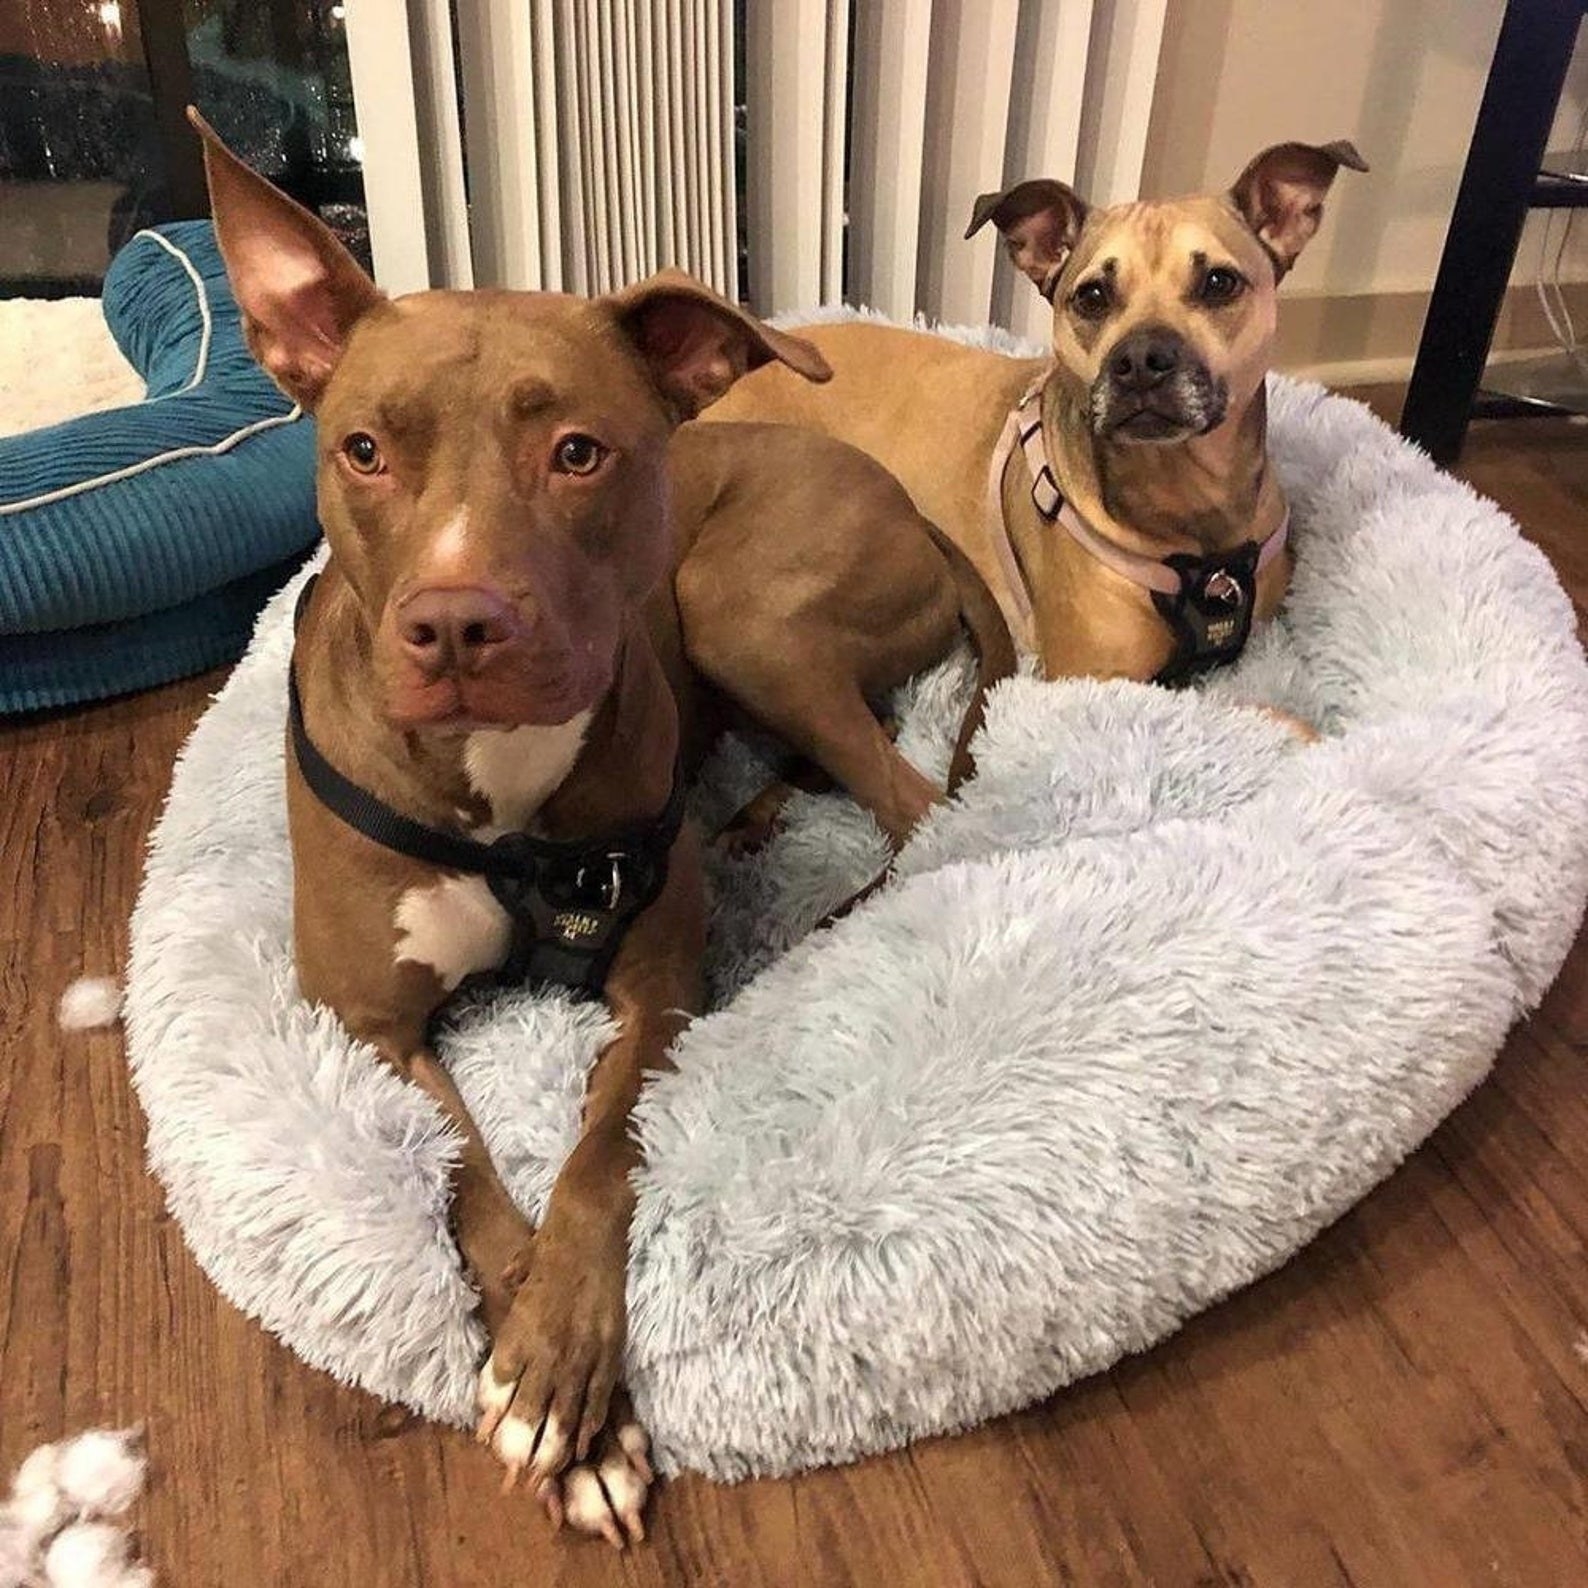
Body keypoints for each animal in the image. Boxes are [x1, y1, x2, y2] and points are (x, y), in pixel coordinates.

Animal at [188, 115, 1003, 1549]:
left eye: (577, 451)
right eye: (364, 449)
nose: (457, 623)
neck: (502, 793)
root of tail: (910, 501)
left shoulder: (658, 984)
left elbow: (598, 1151)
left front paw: (563, 1370)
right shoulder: (365, 1016)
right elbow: (462, 1168)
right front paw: (568, 1411)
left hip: (745, 604)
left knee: (914, 803)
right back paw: (754, 819)